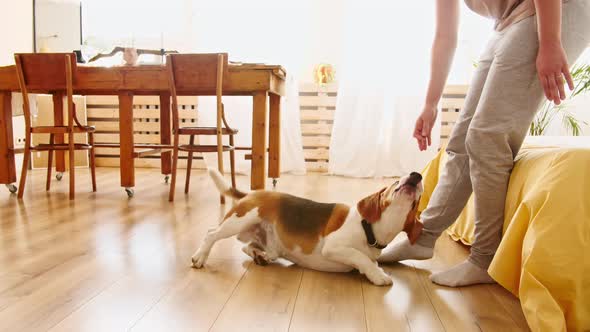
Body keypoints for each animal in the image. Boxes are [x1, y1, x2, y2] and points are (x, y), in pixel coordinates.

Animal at [192, 169, 424, 286]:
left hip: (270, 245)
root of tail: (252, 193)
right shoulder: (334, 247)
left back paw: (260, 256)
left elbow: (368, 260)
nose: (417, 175)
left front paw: (376, 270)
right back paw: (199, 257)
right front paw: (378, 275)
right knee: (211, 234)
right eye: (395, 182)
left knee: (248, 247)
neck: (370, 230)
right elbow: (361, 257)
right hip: (240, 219)